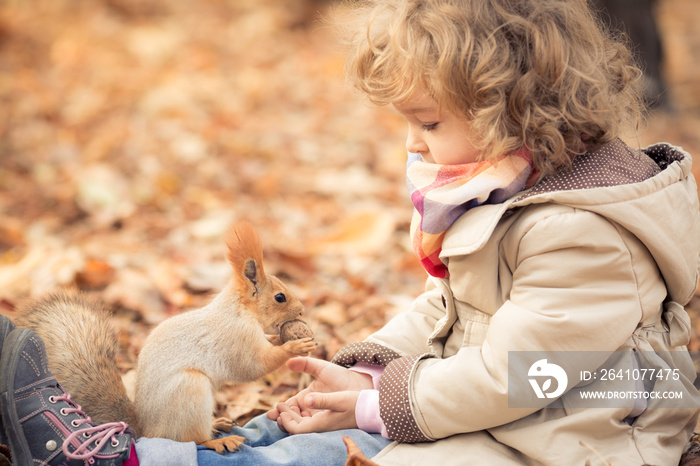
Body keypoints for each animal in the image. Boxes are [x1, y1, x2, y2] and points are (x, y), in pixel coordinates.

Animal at [13, 222, 318, 456]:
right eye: (280, 297)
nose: (302, 311)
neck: (239, 310)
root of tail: (147, 429)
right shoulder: (237, 338)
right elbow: (254, 366)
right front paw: (295, 345)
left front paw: (284, 339)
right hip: (190, 389)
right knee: (190, 439)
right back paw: (218, 440)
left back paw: (218, 425)